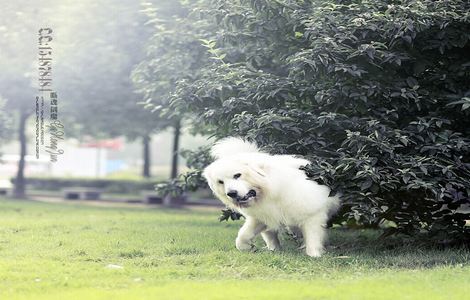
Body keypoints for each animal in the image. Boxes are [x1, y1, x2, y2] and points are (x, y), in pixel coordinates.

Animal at [202, 137, 338, 256]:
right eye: (221, 182)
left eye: (237, 175)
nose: (231, 193)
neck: (270, 193)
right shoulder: (261, 217)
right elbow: (242, 237)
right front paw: (251, 247)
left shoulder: (312, 215)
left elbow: (312, 239)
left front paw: (314, 255)